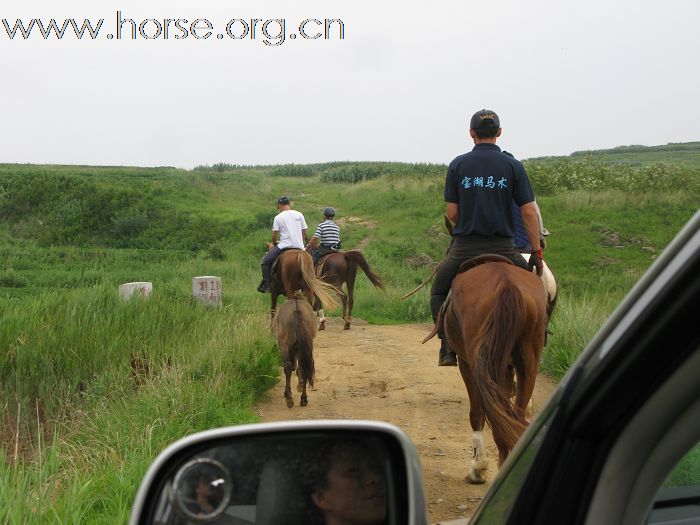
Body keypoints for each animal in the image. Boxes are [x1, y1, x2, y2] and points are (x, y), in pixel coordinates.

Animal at [430, 254, 548, 484]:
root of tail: (507, 284)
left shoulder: (467, 364)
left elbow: (477, 414)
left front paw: (478, 467)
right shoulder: (505, 367)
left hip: (479, 364)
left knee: (495, 414)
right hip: (528, 362)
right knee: (514, 415)